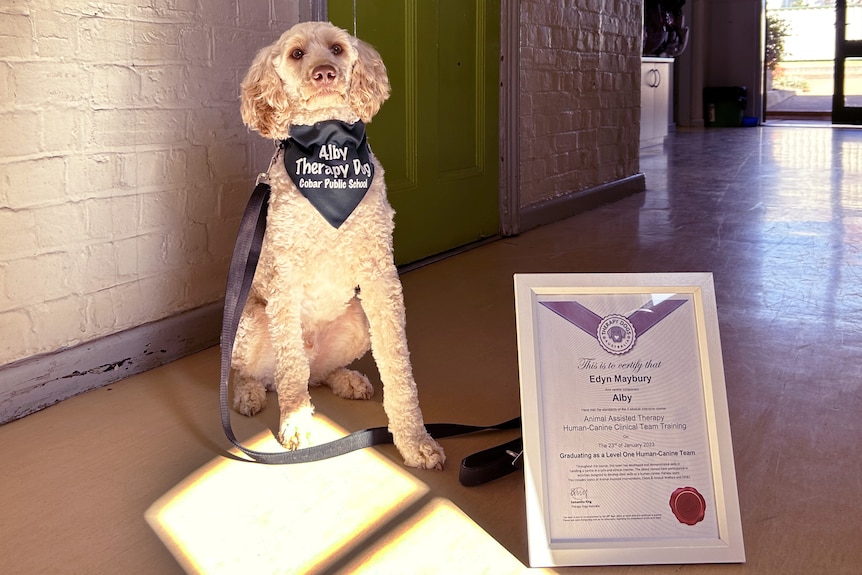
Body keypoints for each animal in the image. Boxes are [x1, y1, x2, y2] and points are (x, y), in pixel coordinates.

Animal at [233, 23, 448, 472]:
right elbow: (290, 370)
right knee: (269, 372)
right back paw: (249, 393)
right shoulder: (284, 279)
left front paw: (414, 440)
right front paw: (297, 422)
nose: (325, 73)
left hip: (356, 320)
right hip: (250, 321)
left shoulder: (380, 275)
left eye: (336, 48)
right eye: (297, 54)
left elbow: (398, 368)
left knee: (318, 373)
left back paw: (346, 379)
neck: (327, 150)